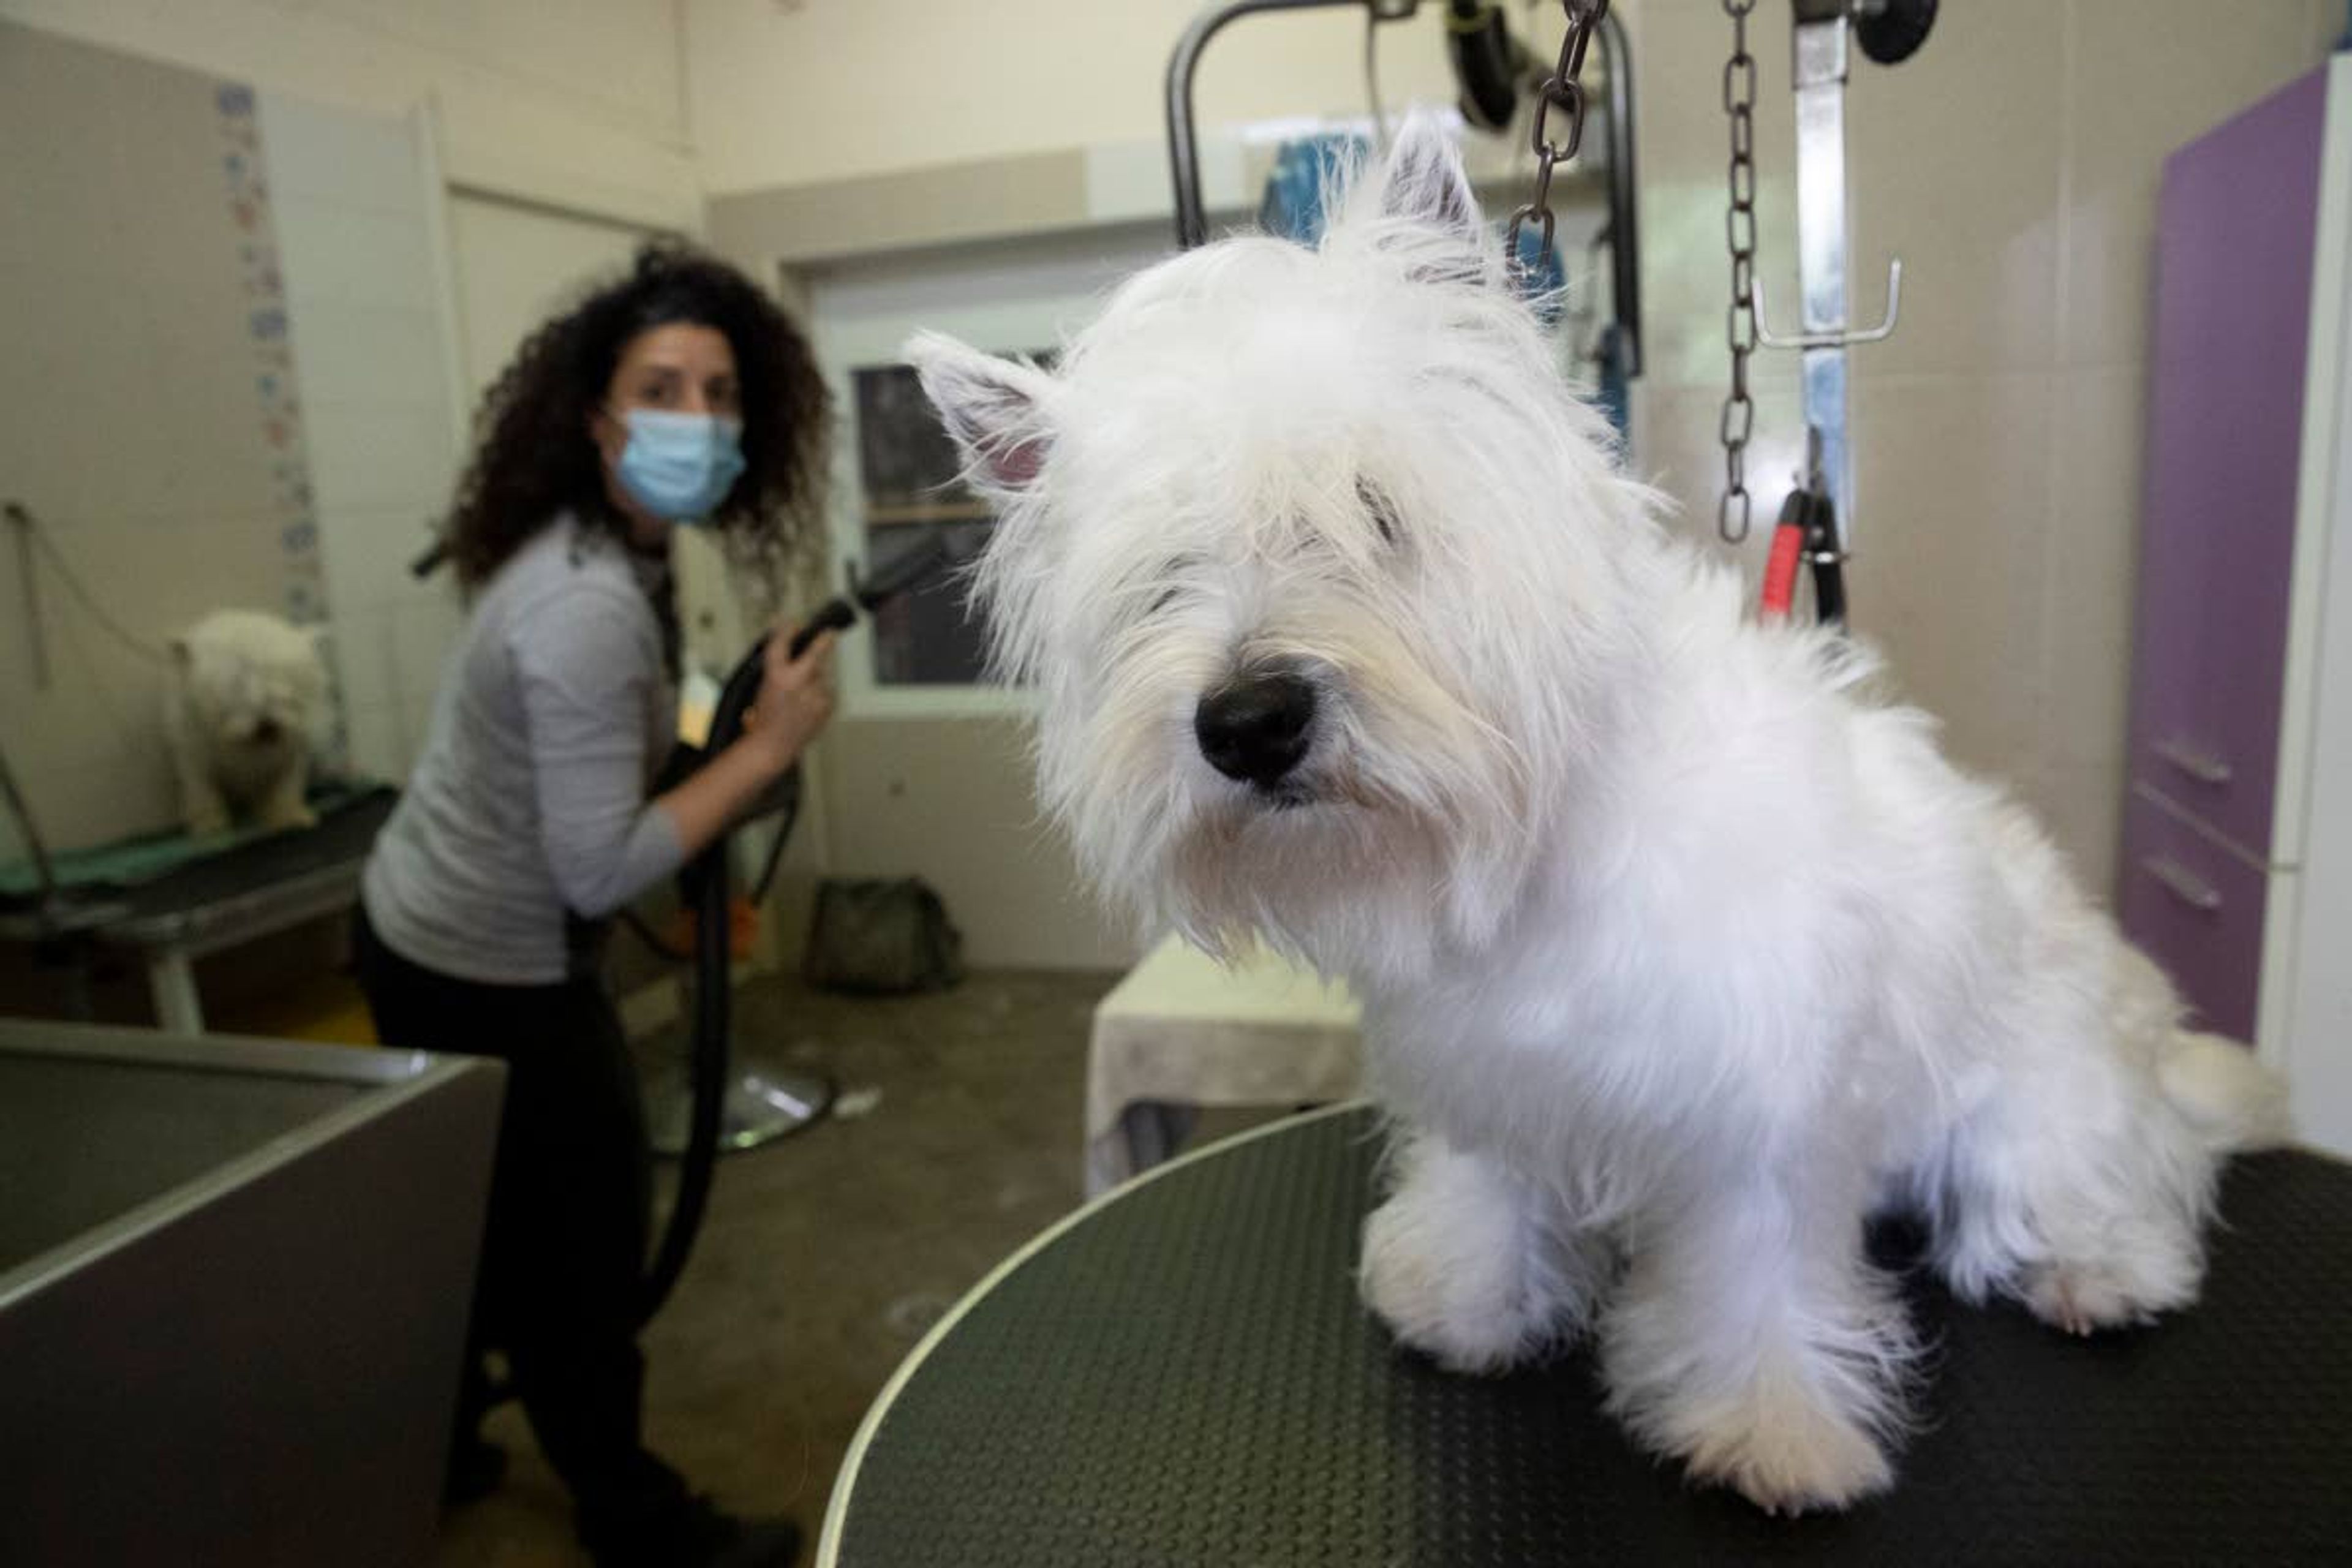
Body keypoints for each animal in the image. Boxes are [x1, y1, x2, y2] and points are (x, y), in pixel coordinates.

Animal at [165, 606, 329, 842]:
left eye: (283, 694)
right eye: (236, 689)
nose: (267, 723)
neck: (249, 751)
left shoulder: (293, 754)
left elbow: (287, 788)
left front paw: (289, 817)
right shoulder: (194, 756)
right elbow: (204, 792)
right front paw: (210, 827)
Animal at [908, 116, 2286, 1513]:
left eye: (1375, 512)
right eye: (1160, 583)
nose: (1248, 721)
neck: (1533, 859)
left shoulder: (1756, 1111)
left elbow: (1756, 1274)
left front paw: (1770, 1425)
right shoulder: (1488, 1081)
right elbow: (1485, 1194)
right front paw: (1463, 1301)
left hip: (2038, 1095)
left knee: (2093, 1177)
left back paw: (2097, 1266)